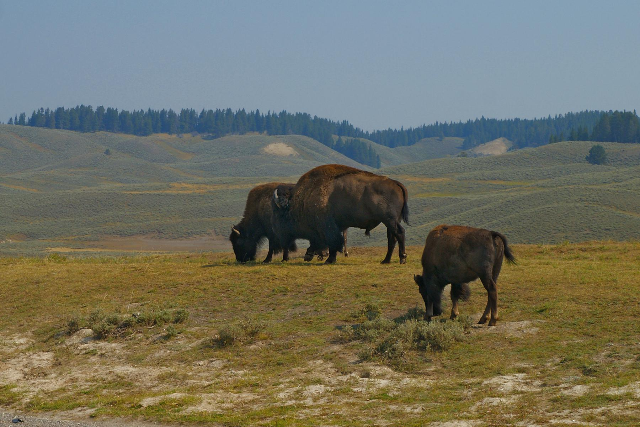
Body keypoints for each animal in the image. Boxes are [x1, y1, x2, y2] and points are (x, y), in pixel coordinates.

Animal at [272, 164, 410, 264]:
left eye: (283, 215)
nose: (278, 230)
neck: (304, 199)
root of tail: (396, 183)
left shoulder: (327, 227)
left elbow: (333, 243)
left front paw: (328, 260)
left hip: (390, 220)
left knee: (400, 233)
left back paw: (402, 258)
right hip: (389, 221)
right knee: (392, 238)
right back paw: (385, 260)